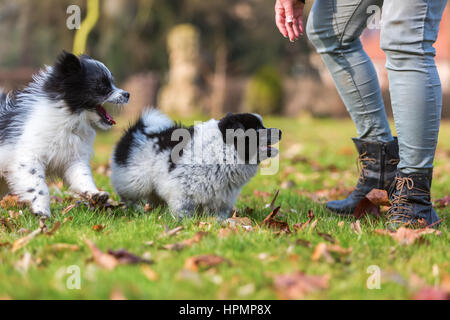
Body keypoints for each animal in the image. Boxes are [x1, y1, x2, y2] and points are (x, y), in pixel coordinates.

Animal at [0, 51, 129, 219]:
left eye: (112, 82)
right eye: (102, 86)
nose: (127, 94)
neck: (69, 119)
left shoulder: (73, 159)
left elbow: (83, 177)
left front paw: (95, 194)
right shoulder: (28, 160)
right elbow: (39, 187)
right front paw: (42, 211)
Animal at [111, 109, 282, 220]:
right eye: (258, 129)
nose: (280, 132)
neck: (222, 149)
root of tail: (136, 131)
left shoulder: (221, 198)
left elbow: (218, 215)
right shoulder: (182, 193)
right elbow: (184, 210)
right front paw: (187, 223)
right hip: (136, 182)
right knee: (129, 197)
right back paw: (137, 210)